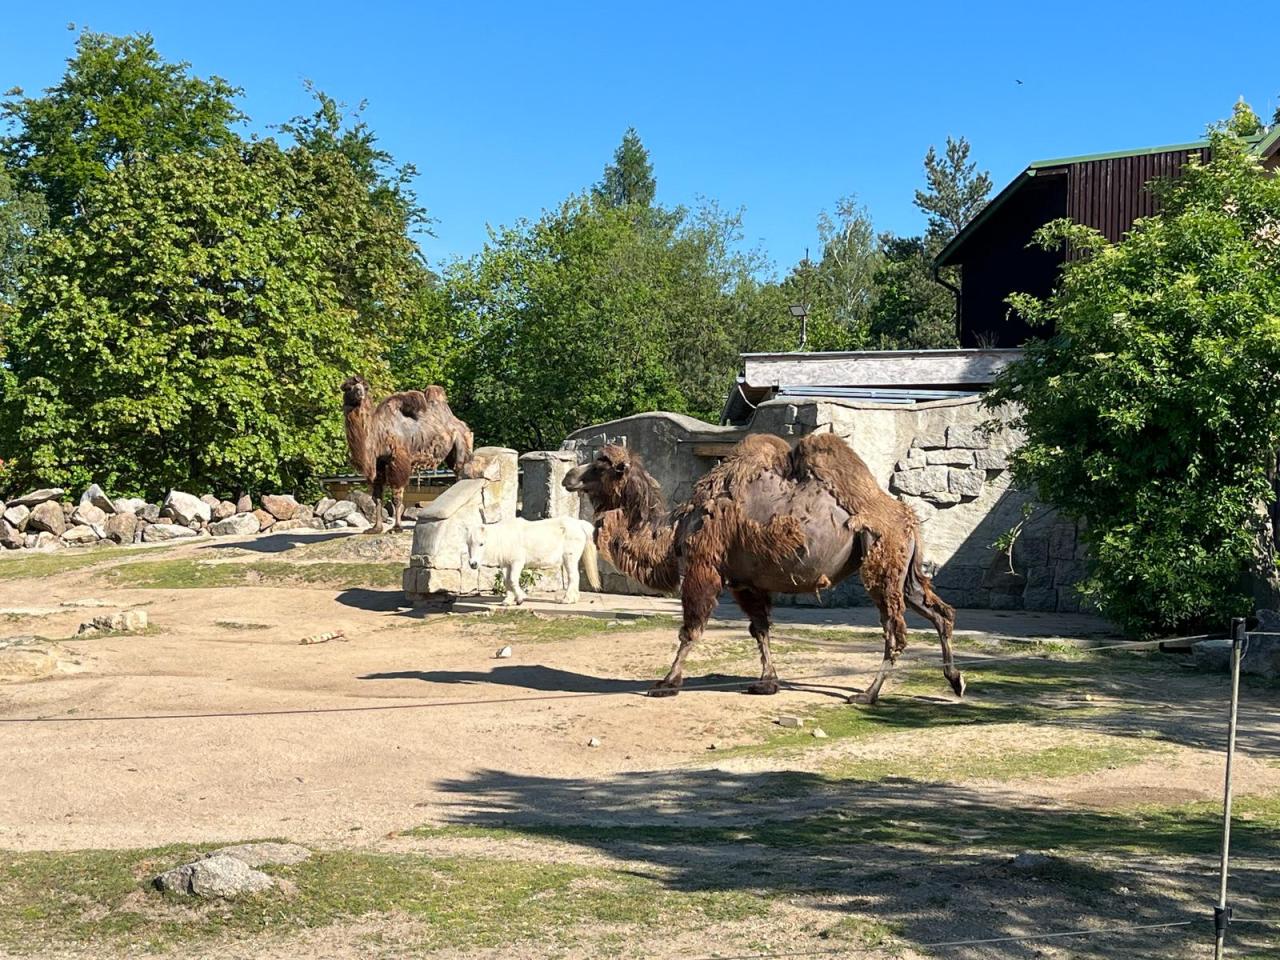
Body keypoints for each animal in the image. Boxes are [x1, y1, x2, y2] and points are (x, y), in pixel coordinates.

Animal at [341, 376, 479, 533]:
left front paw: (396, 528)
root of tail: (464, 426)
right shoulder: (378, 463)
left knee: (462, 471)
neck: (378, 434)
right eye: (348, 387)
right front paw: (376, 528)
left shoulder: (398, 459)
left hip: (462, 445)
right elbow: (377, 497)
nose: (360, 393)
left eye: (365, 387)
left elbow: (397, 497)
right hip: (451, 454)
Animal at [465, 517, 602, 605]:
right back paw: (573, 598)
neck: (505, 537)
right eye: (468, 543)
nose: (473, 564)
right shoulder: (505, 564)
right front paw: (507, 601)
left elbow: (512, 580)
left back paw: (566, 600)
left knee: (573, 577)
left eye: (481, 544)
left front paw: (520, 598)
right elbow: (506, 581)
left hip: (569, 557)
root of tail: (579, 524)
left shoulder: (517, 562)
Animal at [562, 433, 962, 704]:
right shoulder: (745, 582)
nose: (568, 477)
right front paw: (767, 682)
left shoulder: (704, 568)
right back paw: (955, 679)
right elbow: (760, 630)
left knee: (895, 631)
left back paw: (867, 694)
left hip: (882, 561)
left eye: (600, 464)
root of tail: (906, 519)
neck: (675, 529)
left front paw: (667, 683)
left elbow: (691, 630)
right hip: (903, 570)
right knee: (939, 611)